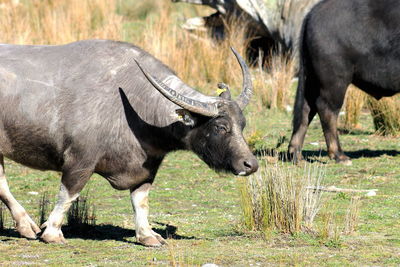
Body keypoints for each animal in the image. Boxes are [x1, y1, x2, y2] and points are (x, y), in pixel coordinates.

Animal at [0, 39, 258, 247]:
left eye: (242, 124)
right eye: (220, 127)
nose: (251, 164)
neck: (135, 105)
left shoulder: (146, 168)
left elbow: (141, 201)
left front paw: (147, 235)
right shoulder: (79, 160)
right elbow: (68, 195)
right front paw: (52, 233)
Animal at [288, 0, 400, 165]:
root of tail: (313, 12)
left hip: (312, 80)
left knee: (306, 109)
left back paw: (296, 154)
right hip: (335, 82)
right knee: (327, 109)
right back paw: (339, 155)